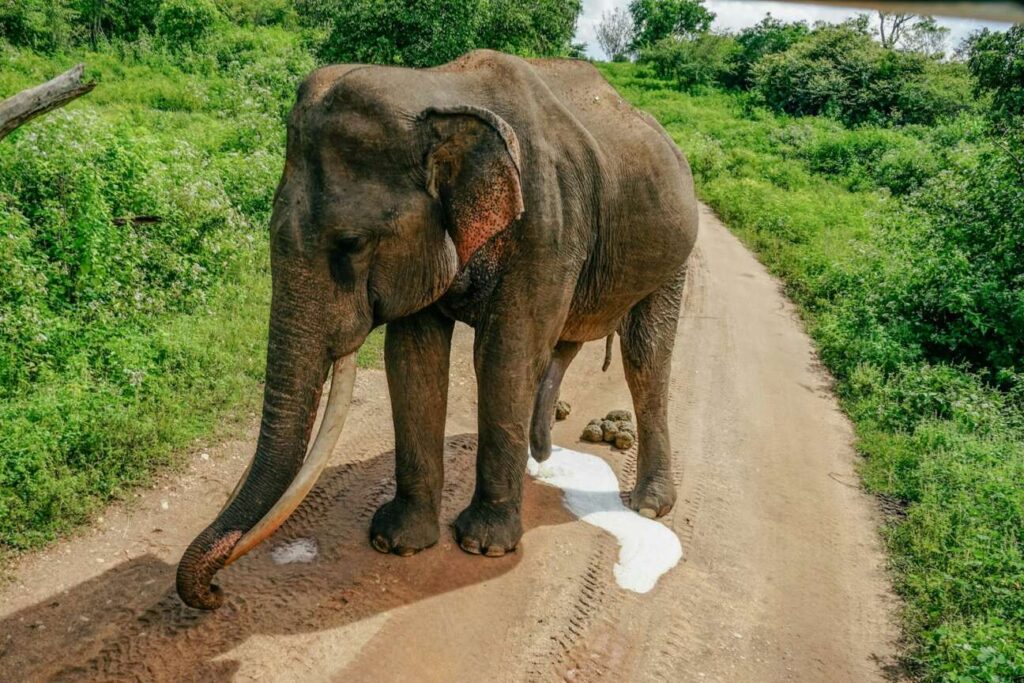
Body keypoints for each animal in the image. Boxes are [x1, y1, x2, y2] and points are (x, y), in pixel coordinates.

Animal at [177, 50, 698, 610]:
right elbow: (413, 357)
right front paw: (397, 542)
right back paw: (540, 459)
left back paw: (648, 506)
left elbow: (504, 356)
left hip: (673, 254)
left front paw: (483, 546)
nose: (215, 593)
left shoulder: (548, 226)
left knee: (645, 357)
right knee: (567, 347)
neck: (439, 92)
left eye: (351, 243)